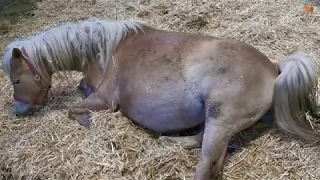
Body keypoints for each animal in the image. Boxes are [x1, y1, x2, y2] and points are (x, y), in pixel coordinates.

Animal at [1, 18, 320, 180]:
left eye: (16, 80)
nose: (19, 111)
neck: (104, 51)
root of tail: (274, 68)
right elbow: (80, 91)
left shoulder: (105, 99)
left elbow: (73, 108)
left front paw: (87, 121)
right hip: (216, 120)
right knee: (198, 140)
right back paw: (169, 142)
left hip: (221, 118)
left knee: (207, 164)